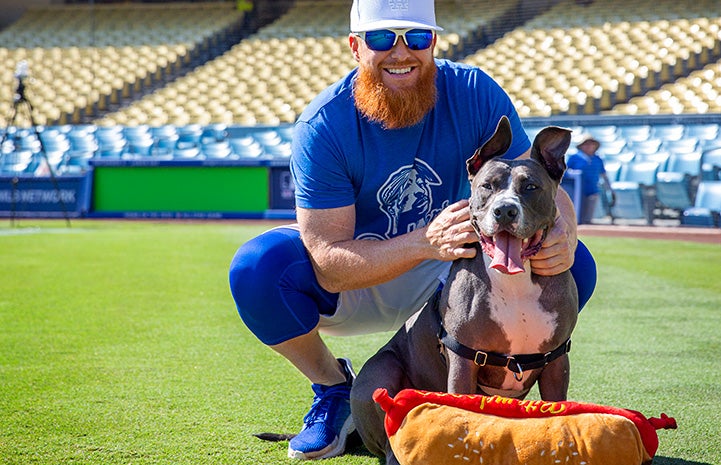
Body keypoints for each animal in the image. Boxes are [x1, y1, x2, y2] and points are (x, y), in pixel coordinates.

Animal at [350, 117, 580, 464]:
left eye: (530, 187)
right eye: (487, 186)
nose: (505, 211)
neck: (514, 282)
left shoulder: (555, 363)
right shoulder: (463, 362)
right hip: (378, 375)